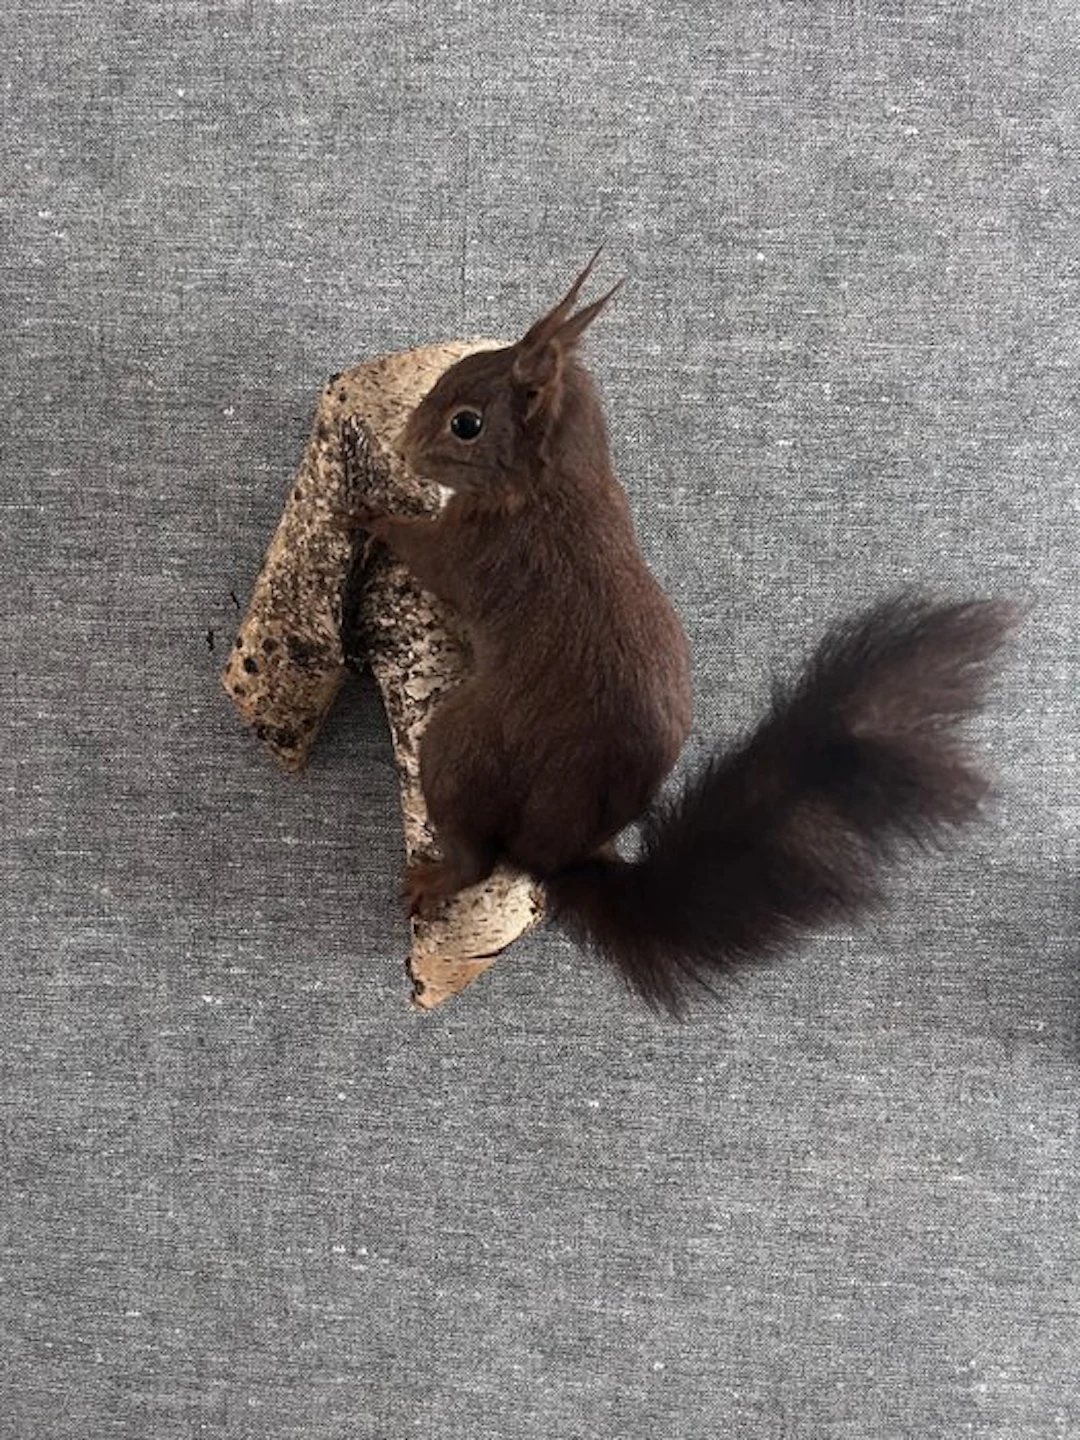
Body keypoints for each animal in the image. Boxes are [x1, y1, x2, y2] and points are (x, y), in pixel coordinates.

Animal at [346, 252, 1015, 1014]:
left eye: (466, 423)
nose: (404, 445)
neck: (549, 486)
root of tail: (561, 854)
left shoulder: (480, 553)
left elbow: (424, 551)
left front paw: (372, 514)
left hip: (465, 752)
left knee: (477, 855)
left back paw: (435, 877)